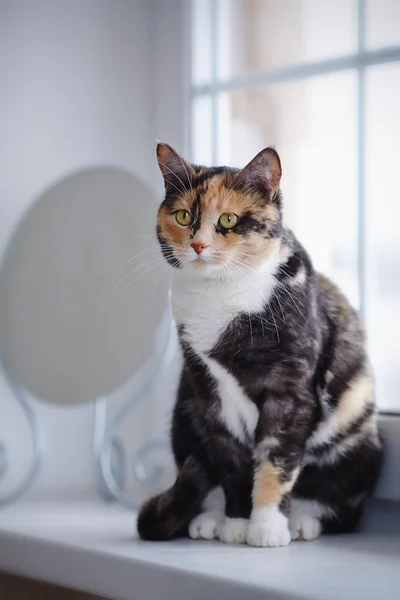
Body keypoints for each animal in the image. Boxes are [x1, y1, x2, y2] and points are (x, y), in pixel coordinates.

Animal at [138, 143, 384, 548]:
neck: (220, 298)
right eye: (184, 215)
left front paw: (267, 525)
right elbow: (231, 461)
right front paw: (238, 521)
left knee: (341, 505)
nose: (198, 245)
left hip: (358, 441)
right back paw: (208, 520)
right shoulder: (210, 393)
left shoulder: (291, 391)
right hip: (184, 416)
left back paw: (301, 522)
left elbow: (276, 460)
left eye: (228, 220)